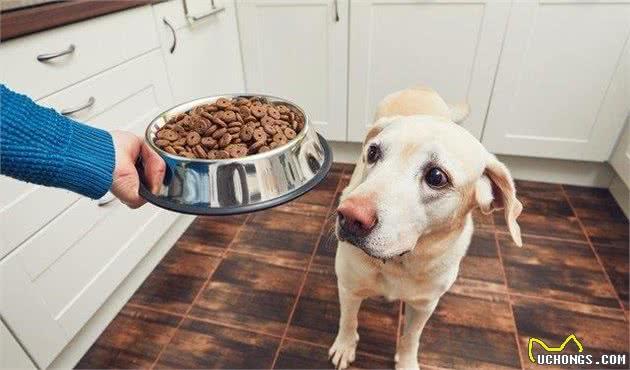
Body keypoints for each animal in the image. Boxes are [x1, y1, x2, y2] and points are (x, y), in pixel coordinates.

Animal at [328, 87, 524, 370]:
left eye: (436, 177)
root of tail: (420, 87)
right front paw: (344, 346)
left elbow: (412, 337)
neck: (400, 263)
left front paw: (407, 362)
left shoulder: (424, 306)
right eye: (373, 153)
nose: (349, 217)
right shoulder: (349, 288)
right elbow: (348, 320)